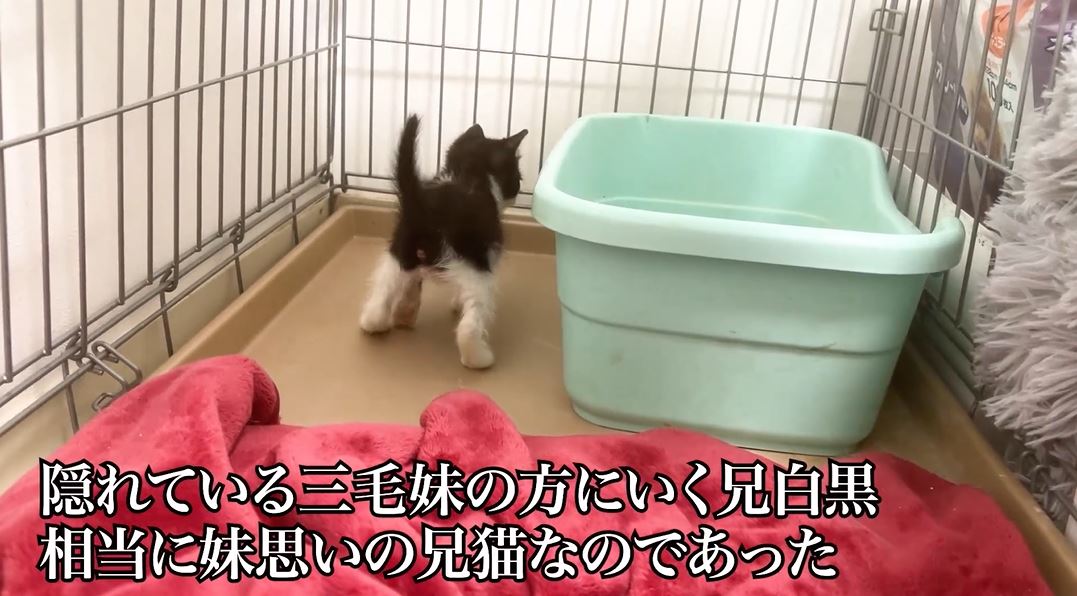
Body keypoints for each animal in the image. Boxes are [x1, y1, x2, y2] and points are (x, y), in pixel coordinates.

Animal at [358, 114, 528, 370]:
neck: (468, 173)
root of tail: (422, 209)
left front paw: (406, 310)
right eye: (517, 178)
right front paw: (456, 305)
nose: (516, 193)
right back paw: (478, 358)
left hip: (398, 254)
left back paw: (374, 323)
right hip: (475, 269)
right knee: (469, 324)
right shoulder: (486, 255)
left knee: (382, 292)